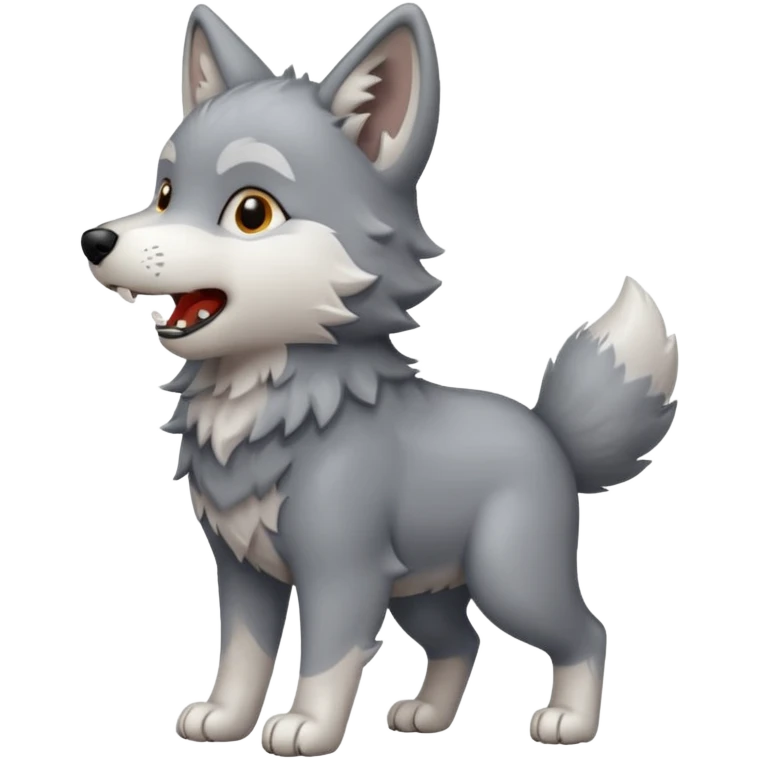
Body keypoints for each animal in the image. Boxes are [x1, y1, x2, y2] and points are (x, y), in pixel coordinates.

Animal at [80, 2, 679, 754]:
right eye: (163, 194)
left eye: (251, 212)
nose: (95, 241)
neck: (269, 410)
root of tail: (546, 429)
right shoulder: (242, 569)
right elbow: (243, 653)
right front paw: (224, 717)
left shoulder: (345, 568)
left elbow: (328, 654)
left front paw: (306, 726)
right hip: (424, 591)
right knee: (461, 642)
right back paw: (427, 716)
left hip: (509, 577)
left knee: (587, 631)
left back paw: (568, 721)